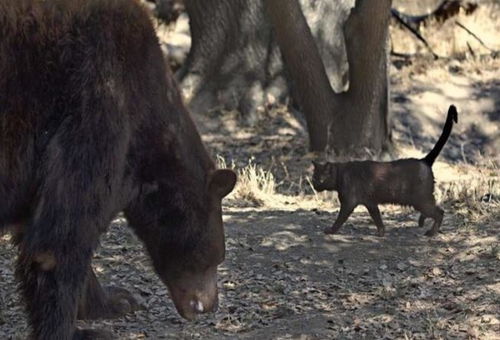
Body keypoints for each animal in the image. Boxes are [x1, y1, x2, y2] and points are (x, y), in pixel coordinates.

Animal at [0, 0, 236, 338]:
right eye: (216, 256)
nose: (210, 304)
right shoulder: (99, 104)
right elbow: (61, 237)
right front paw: (73, 329)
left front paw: (116, 301)